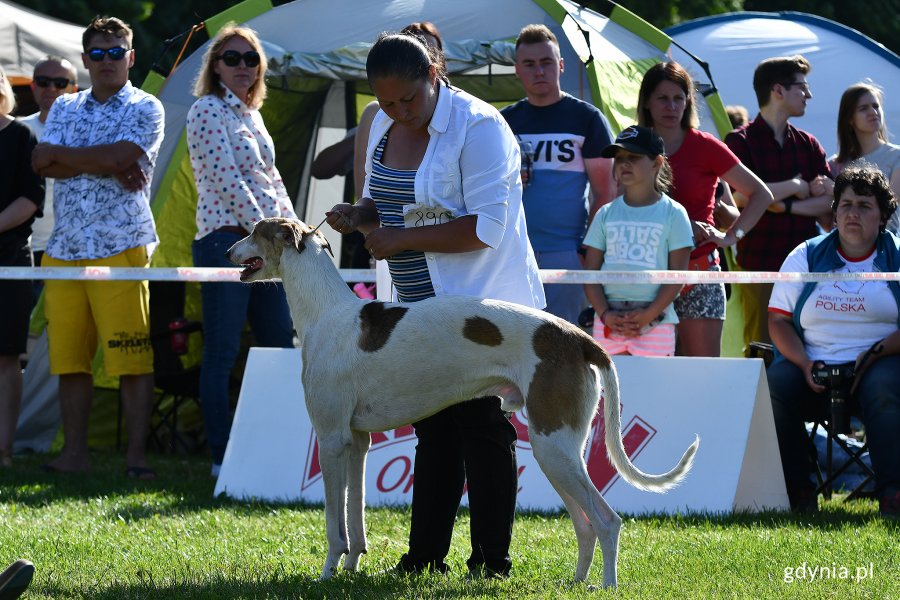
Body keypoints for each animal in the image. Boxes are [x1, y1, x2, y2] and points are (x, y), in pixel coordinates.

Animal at [229, 218, 700, 588]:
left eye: (254, 231)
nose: (228, 250)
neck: (326, 312)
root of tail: (578, 338)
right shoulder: (357, 441)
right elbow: (355, 516)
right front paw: (350, 570)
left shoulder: (330, 440)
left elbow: (334, 524)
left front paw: (327, 573)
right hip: (560, 450)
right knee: (584, 524)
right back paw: (576, 583)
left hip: (553, 447)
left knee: (606, 520)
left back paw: (606, 586)